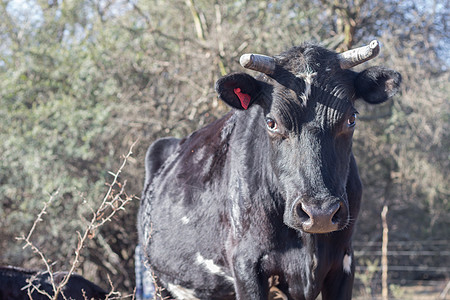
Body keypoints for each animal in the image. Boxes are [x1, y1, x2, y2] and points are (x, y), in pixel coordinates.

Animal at [137, 40, 400, 300]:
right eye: (271, 122)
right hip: (158, 281)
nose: (320, 213)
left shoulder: (343, 262)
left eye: (351, 118)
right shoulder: (246, 265)